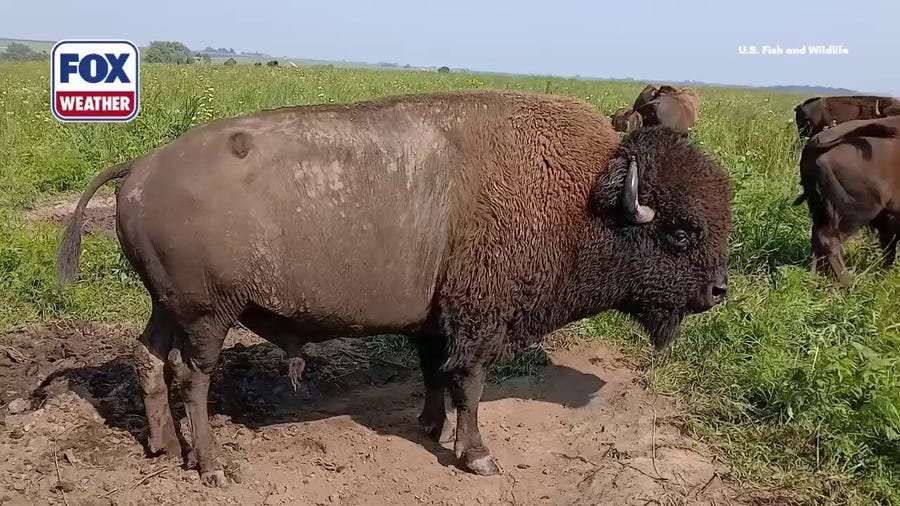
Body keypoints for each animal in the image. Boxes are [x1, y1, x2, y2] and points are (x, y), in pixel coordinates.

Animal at [56, 89, 733, 487]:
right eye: (679, 233)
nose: (718, 291)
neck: (583, 194)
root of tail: (140, 168)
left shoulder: (435, 320)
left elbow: (436, 374)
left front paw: (431, 427)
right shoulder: (475, 323)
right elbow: (470, 385)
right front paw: (478, 456)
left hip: (167, 306)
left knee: (149, 358)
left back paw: (163, 447)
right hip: (208, 315)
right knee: (193, 374)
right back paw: (213, 467)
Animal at [793, 116, 900, 286]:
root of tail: (815, 143)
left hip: (819, 208)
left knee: (816, 237)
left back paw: (814, 278)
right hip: (857, 212)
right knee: (829, 239)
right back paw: (850, 283)